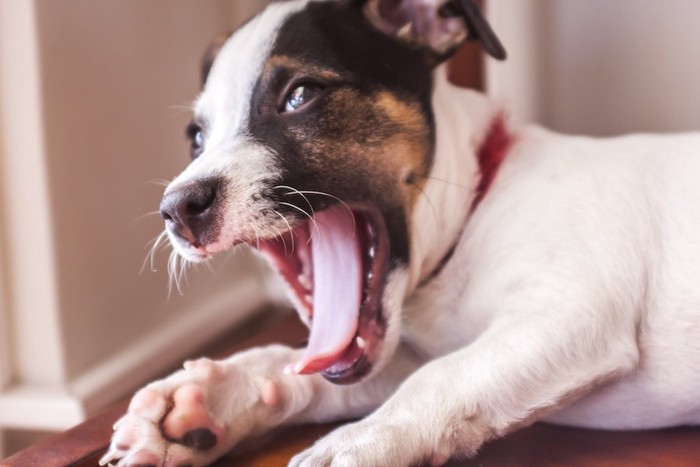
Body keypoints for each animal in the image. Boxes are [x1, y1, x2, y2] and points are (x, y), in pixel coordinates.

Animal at [98, 0, 700, 467]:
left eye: (300, 95)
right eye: (196, 138)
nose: (177, 209)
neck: (473, 209)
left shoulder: (570, 312)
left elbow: (441, 376)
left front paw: (360, 443)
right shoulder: (406, 354)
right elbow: (316, 367)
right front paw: (212, 398)